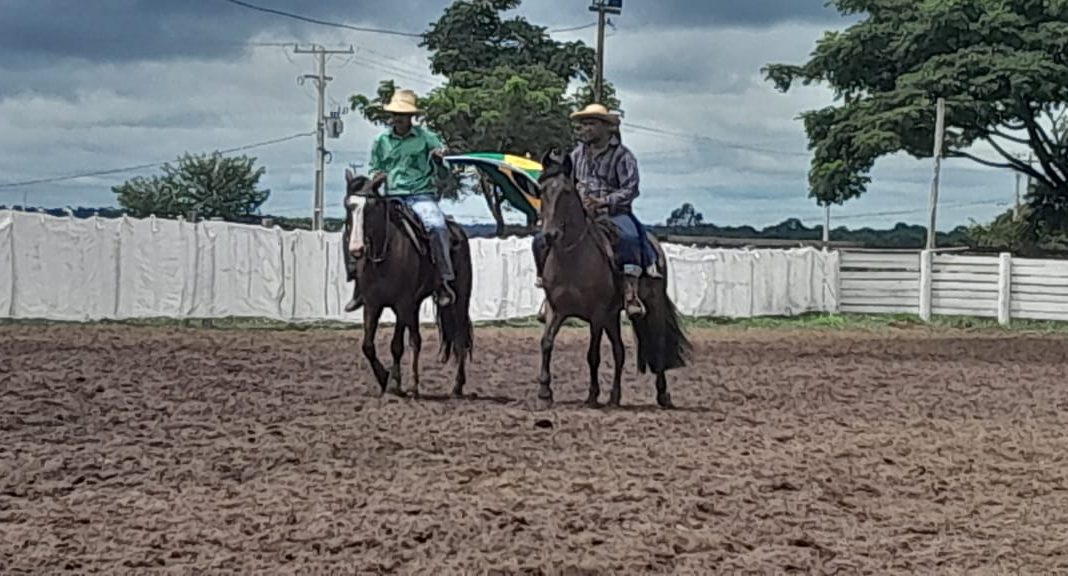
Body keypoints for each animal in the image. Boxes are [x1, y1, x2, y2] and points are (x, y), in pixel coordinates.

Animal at [341, 168, 474, 398]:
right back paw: (414, 385)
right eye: (348, 205)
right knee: (417, 340)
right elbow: (368, 346)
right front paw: (384, 378)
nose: (356, 249)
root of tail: (457, 232)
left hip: (460, 299)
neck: (384, 256)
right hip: (416, 304)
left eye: (371, 206)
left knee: (459, 339)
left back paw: (457, 386)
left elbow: (396, 345)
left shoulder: (402, 304)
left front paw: (394, 383)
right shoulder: (372, 305)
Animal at [534, 150, 691, 409]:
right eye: (541, 190)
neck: (572, 258)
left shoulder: (596, 315)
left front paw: (592, 395)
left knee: (657, 343)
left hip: (651, 305)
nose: (549, 235)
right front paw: (544, 393)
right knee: (619, 352)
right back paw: (615, 397)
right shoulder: (555, 310)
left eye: (566, 192)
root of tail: (655, 246)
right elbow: (546, 343)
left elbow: (593, 354)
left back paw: (662, 394)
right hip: (612, 316)